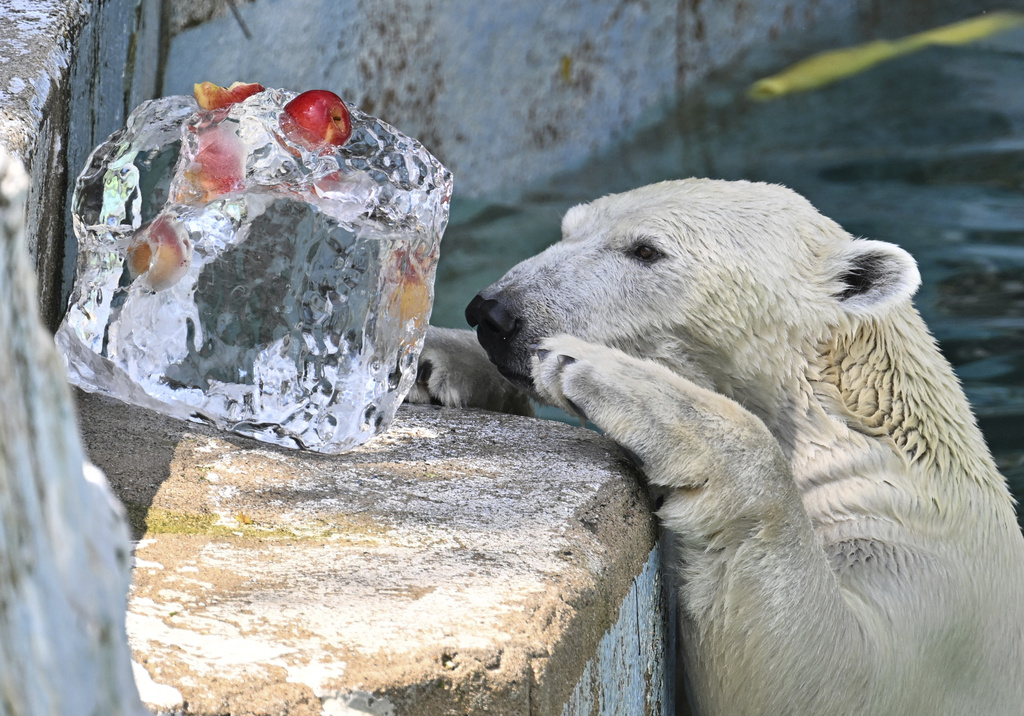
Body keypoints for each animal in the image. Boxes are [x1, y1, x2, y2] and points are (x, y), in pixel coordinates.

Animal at [405, 179, 1024, 716]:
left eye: (646, 250)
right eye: (568, 228)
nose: (494, 313)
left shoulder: (930, 585)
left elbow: (823, 678)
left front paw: (618, 381)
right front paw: (434, 358)